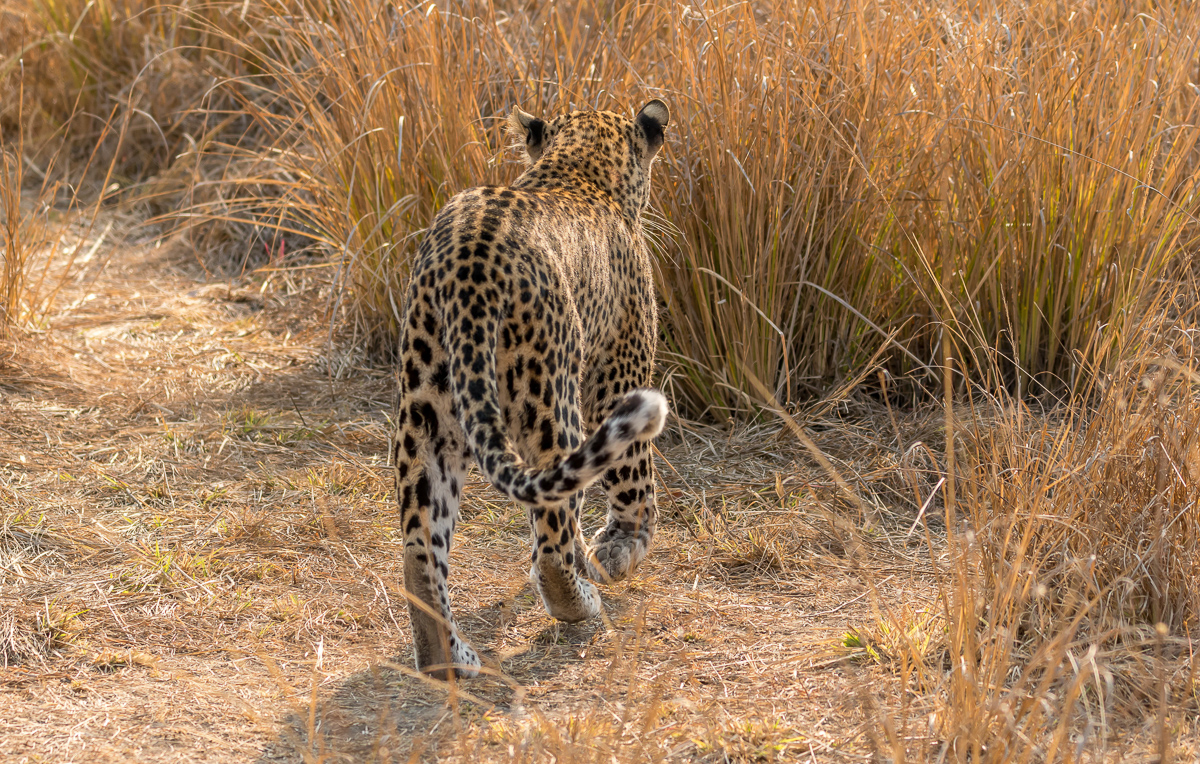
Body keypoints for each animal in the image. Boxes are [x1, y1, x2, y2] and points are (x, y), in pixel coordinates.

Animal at [393, 98, 676, 676]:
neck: (578, 168)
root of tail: (470, 267)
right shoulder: (621, 369)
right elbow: (634, 475)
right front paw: (623, 547)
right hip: (549, 397)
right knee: (550, 535)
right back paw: (580, 603)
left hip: (427, 408)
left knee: (420, 546)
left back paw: (447, 658)